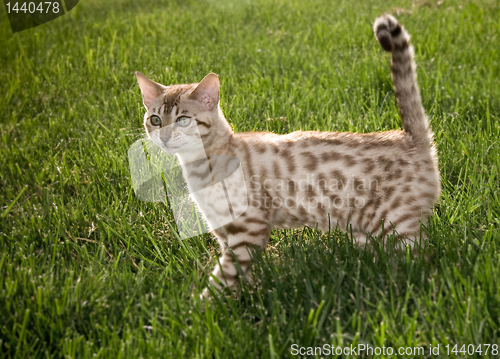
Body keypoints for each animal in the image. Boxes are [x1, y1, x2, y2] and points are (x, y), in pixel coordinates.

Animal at [135, 14, 440, 298]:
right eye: (155, 119)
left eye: (183, 120)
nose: (164, 136)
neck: (198, 168)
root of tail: (409, 137)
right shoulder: (224, 232)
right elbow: (239, 276)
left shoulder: (248, 230)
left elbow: (223, 279)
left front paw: (202, 309)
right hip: (364, 230)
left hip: (395, 225)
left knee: (420, 263)